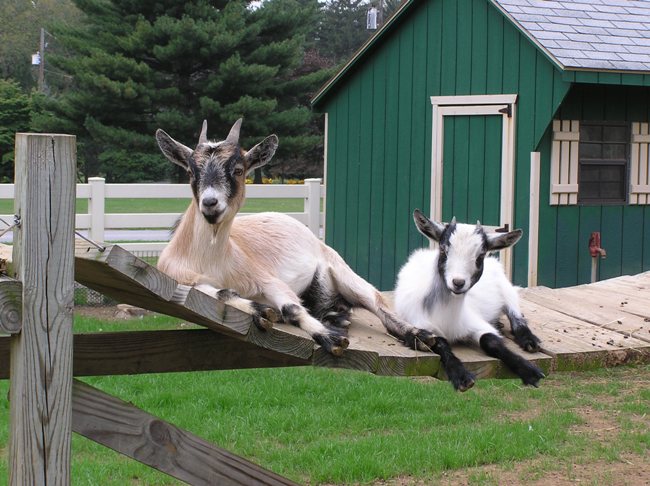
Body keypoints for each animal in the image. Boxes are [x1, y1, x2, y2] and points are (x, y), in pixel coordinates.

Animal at [155, 117, 474, 372]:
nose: (210, 203)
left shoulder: (267, 279)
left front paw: (330, 339)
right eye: (191, 171)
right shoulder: (180, 279)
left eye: (238, 169)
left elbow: (291, 309)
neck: (211, 258)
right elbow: (218, 292)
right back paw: (337, 318)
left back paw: (418, 335)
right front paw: (260, 311)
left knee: (381, 308)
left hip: (344, 272)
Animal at [392, 211, 544, 390]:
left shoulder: (475, 322)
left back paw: (530, 341)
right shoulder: (421, 326)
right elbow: (439, 344)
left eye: (481, 255)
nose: (458, 282)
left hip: (507, 290)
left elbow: (490, 341)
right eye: (443, 249)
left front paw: (529, 371)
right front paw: (461, 376)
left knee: (516, 315)